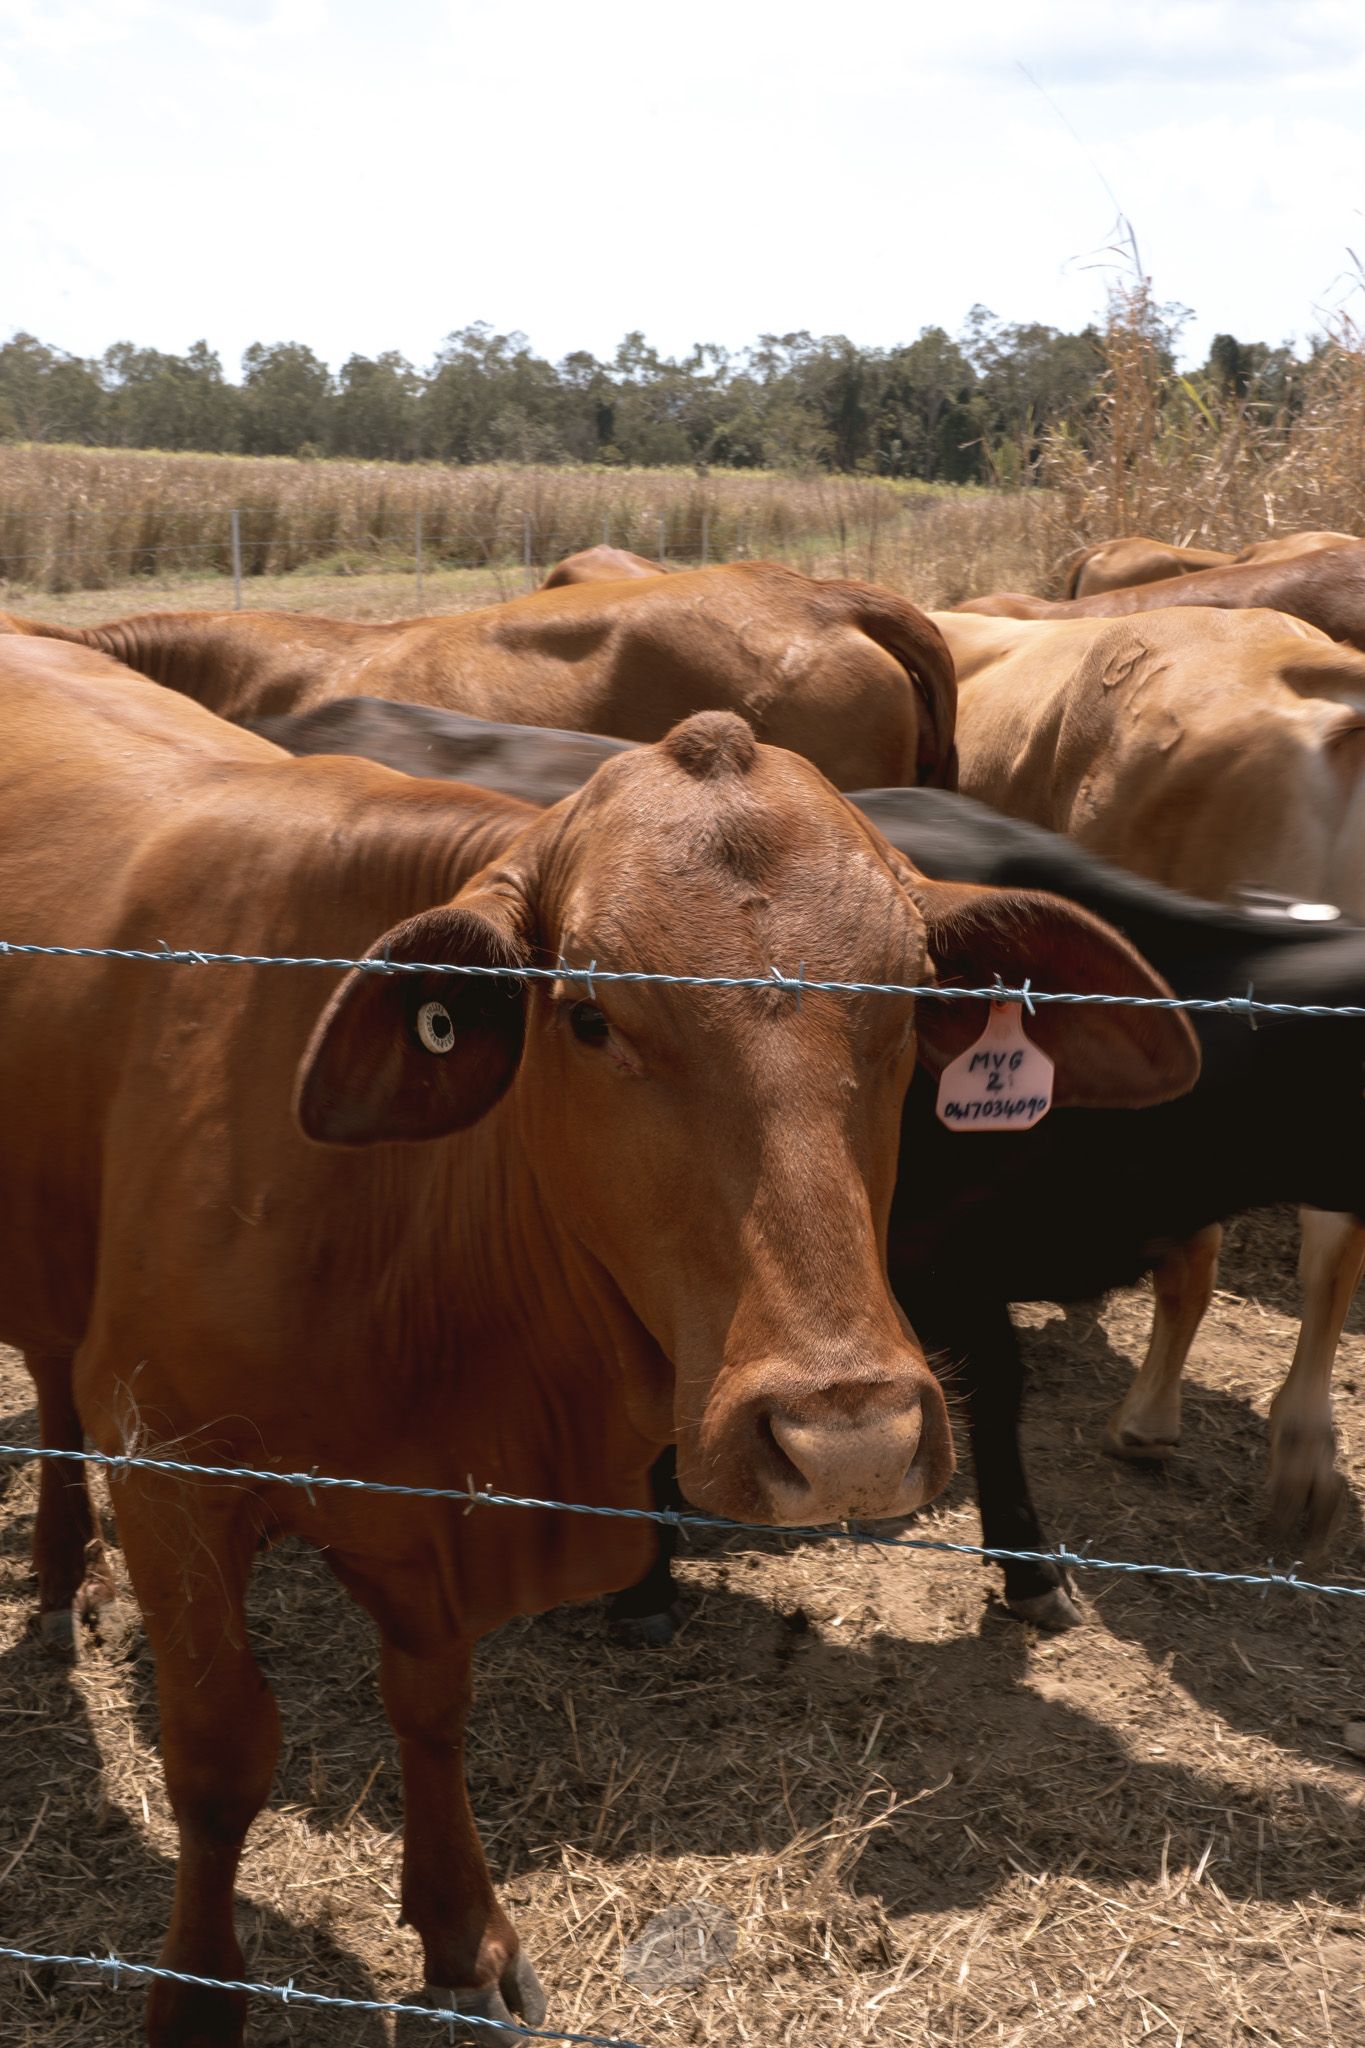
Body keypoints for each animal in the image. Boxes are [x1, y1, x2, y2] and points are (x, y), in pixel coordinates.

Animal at [0, 636, 1198, 2043]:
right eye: (586, 1014)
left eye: (908, 1000)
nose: (847, 1436)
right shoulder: (172, 1472)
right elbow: (220, 1750)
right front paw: (196, 1995)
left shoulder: (430, 1521)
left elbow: (433, 1709)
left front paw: (461, 1935)